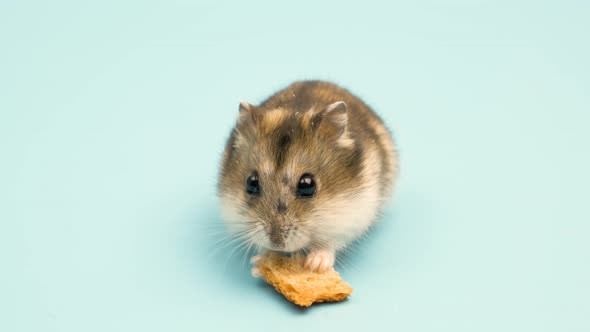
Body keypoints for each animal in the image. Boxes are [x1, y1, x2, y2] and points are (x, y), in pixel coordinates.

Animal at [217, 80, 398, 272]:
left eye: (307, 185)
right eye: (251, 183)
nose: (276, 242)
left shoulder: (352, 217)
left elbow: (329, 243)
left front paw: (315, 265)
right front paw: (259, 265)